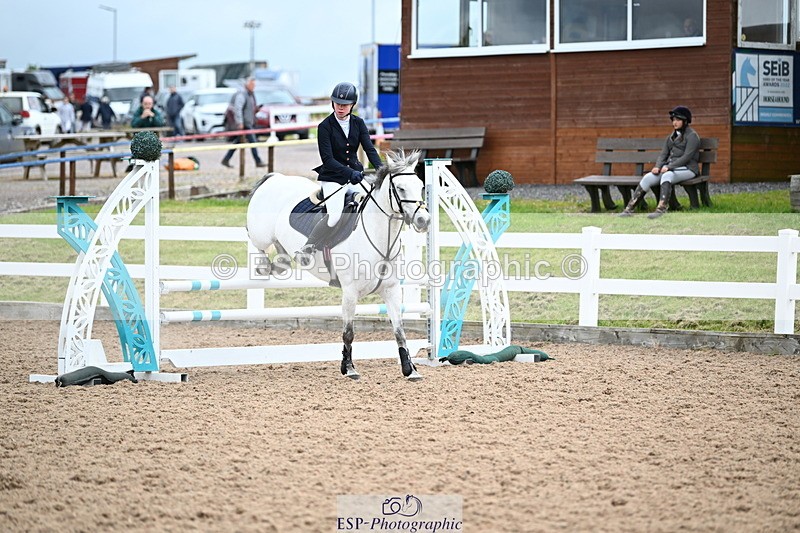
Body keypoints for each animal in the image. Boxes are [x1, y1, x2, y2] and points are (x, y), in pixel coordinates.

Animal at [246, 150, 431, 381]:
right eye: (400, 188)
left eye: (421, 186)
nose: (424, 220)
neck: (380, 238)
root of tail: (275, 178)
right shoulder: (350, 292)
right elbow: (348, 332)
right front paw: (349, 368)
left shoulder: (392, 290)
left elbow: (399, 331)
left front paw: (410, 369)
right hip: (261, 234)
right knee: (256, 243)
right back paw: (263, 266)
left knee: (282, 255)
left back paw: (280, 263)